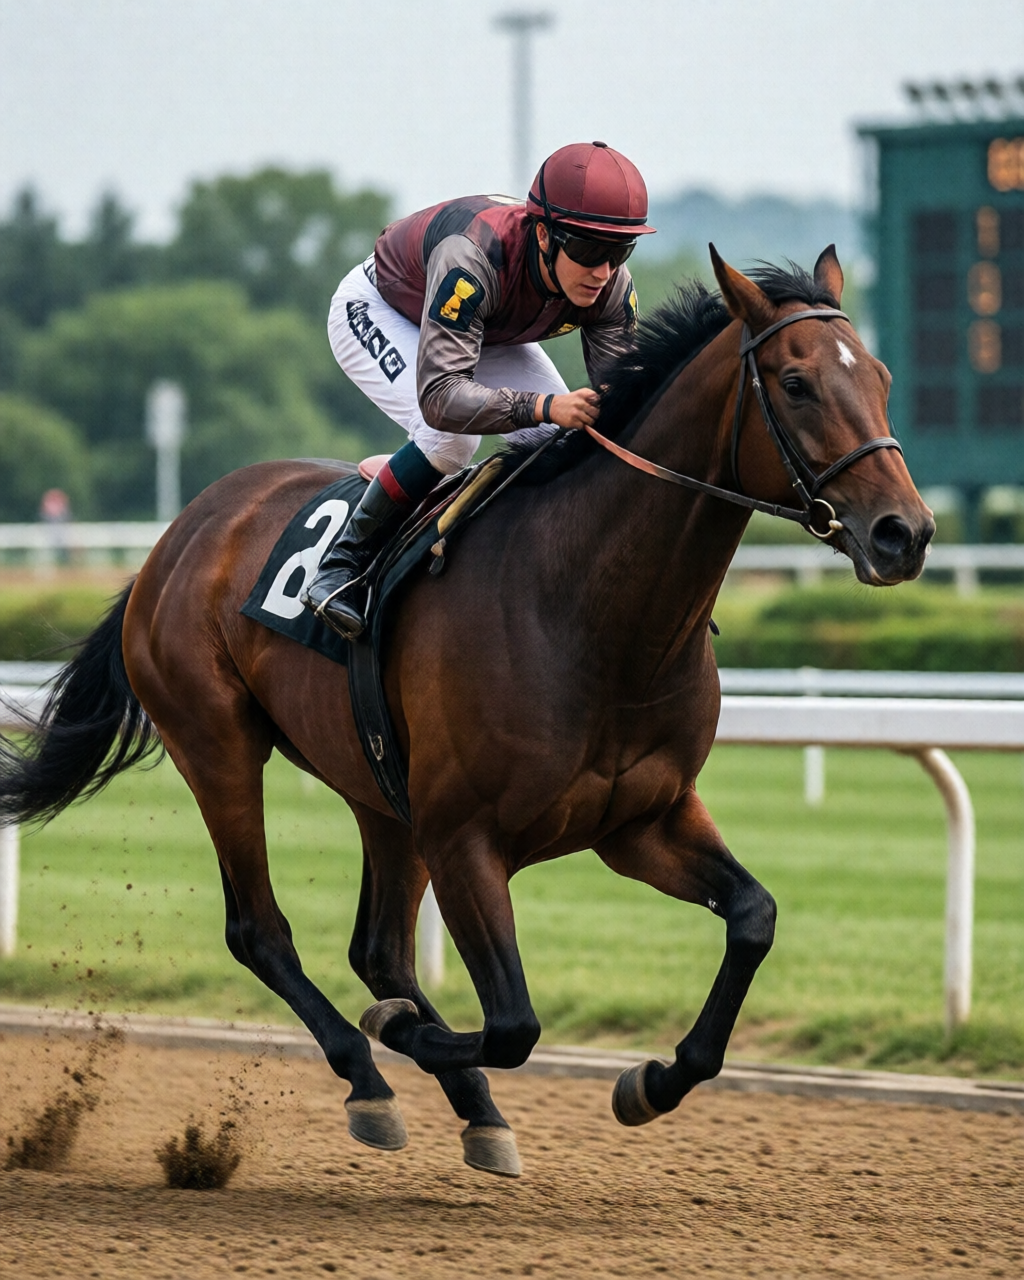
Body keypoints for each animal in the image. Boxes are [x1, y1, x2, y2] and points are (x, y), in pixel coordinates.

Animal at [0, 247, 934, 1178]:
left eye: (883, 377)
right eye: (795, 382)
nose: (905, 533)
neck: (593, 612)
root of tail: (176, 535)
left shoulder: (643, 820)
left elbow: (753, 919)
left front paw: (651, 1081)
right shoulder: (466, 837)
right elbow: (515, 1021)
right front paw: (406, 1037)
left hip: (382, 791)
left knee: (377, 949)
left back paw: (472, 1106)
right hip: (218, 744)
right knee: (261, 932)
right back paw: (370, 1078)